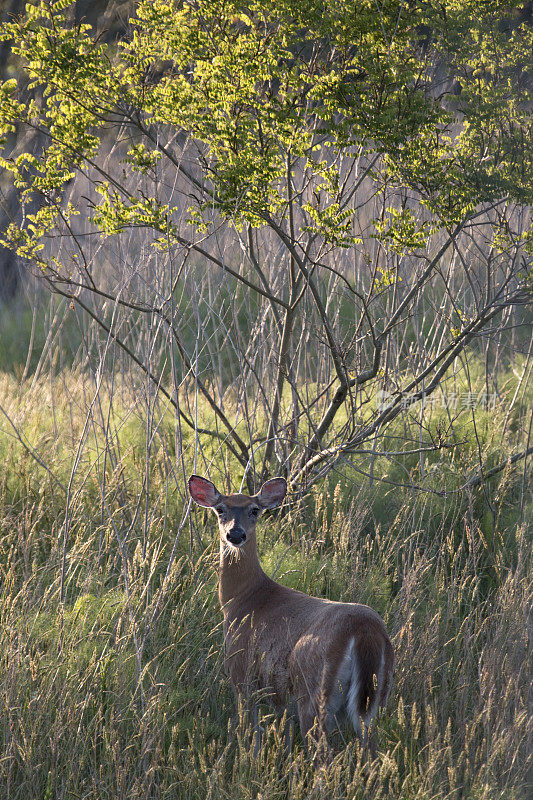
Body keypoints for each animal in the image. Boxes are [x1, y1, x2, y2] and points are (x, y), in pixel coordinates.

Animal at [189, 472, 392, 752]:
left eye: (254, 510)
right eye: (220, 509)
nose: (235, 534)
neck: (243, 600)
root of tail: (365, 631)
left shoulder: (241, 671)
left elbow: (249, 730)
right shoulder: (276, 694)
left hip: (313, 690)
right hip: (373, 702)